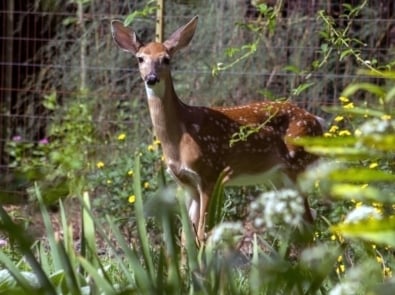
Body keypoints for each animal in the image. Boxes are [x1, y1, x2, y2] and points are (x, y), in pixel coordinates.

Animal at [111, 15, 324, 244]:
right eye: (140, 59)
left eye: (166, 59)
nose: (151, 78)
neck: (180, 137)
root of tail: (318, 122)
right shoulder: (185, 184)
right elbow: (186, 238)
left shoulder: (210, 174)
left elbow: (202, 234)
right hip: (276, 177)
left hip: (299, 167)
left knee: (310, 225)